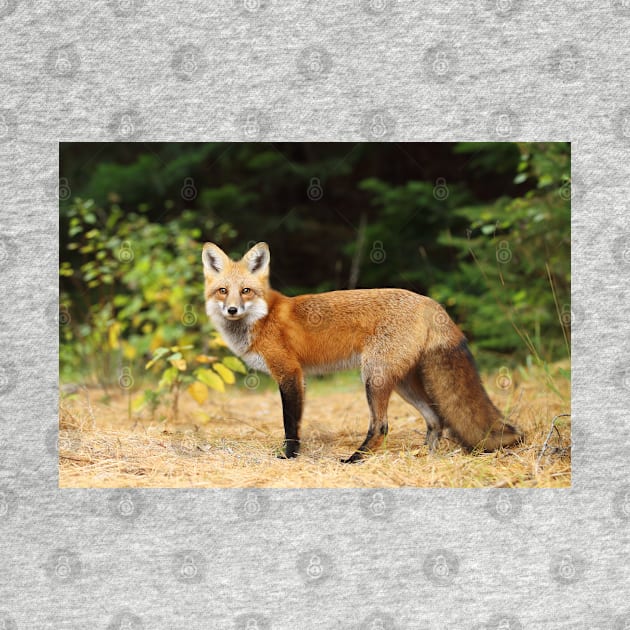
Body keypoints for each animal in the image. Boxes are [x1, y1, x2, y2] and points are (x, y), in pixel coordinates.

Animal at [202, 242, 524, 464]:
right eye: (222, 291)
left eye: (245, 291)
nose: (232, 310)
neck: (262, 318)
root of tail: (429, 301)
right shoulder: (299, 376)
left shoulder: (289, 372)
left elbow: (290, 423)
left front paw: (290, 455)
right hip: (402, 382)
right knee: (436, 420)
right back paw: (424, 458)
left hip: (374, 377)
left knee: (381, 425)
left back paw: (355, 459)